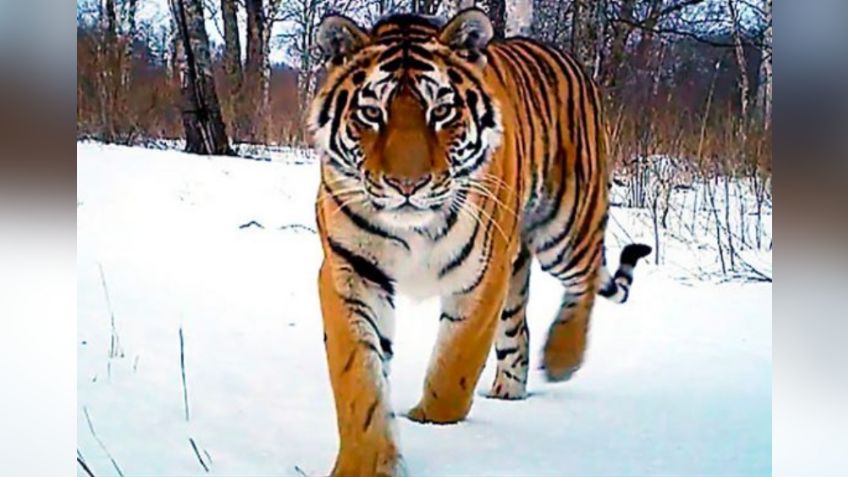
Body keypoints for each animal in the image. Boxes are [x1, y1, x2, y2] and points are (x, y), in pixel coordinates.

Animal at [307, 9, 651, 477]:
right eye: (372, 112)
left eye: (441, 110)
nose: (406, 186)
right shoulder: (351, 272)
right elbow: (358, 378)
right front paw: (367, 464)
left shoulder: (482, 275)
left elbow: (454, 367)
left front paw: (430, 422)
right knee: (518, 329)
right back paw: (510, 389)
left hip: (565, 226)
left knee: (584, 279)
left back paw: (562, 358)